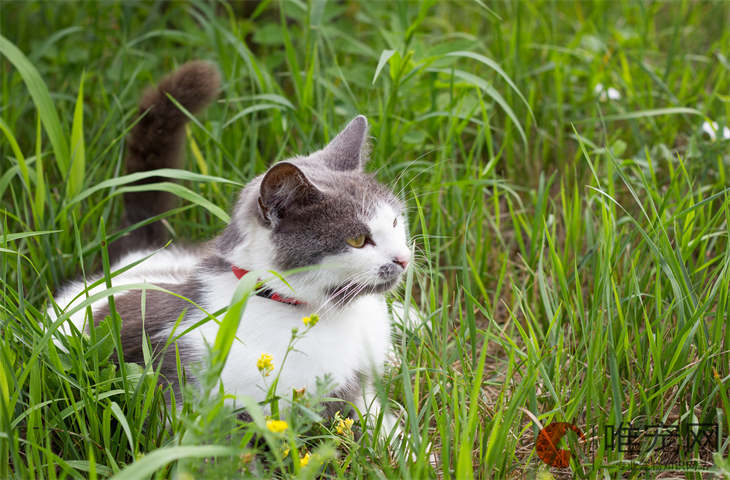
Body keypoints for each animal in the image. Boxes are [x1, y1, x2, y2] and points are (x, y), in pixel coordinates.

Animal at [51, 62, 410, 434]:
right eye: (358, 240)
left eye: (395, 222)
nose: (404, 259)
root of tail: (136, 253)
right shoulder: (187, 389)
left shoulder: (360, 388)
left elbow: (382, 424)